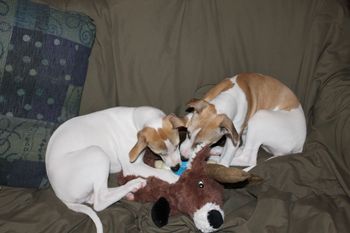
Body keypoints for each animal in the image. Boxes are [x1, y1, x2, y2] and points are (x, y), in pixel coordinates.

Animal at [45, 106, 185, 233]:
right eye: (160, 153)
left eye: (177, 145)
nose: (176, 167)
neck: (135, 120)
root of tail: (60, 195)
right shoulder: (132, 166)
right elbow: (161, 172)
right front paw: (176, 177)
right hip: (97, 153)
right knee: (99, 200)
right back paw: (134, 184)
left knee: (96, 196)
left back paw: (131, 190)